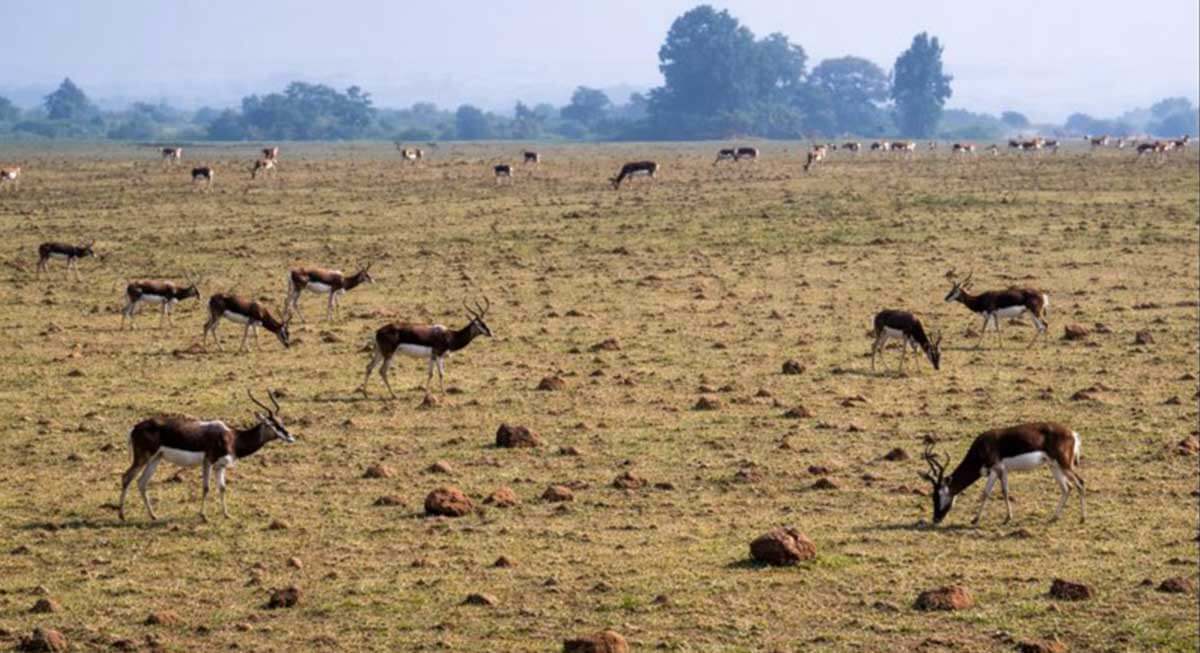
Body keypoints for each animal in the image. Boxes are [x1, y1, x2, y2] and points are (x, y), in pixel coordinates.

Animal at [119, 389, 295, 522]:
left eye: (281, 422)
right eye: (271, 424)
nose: (290, 437)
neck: (233, 438)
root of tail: (135, 427)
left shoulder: (220, 466)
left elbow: (222, 488)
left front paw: (227, 514)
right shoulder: (208, 461)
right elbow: (206, 487)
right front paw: (204, 516)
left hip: (155, 459)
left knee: (141, 482)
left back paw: (153, 516)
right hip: (143, 458)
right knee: (126, 477)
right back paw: (122, 516)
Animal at [358, 298, 492, 398]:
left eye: (485, 323)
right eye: (480, 324)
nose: (490, 333)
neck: (449, 335)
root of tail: (378, 332)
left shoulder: (433, 356)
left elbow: (431, 374)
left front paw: (427, 393)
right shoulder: (438, 354)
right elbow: (441, 374)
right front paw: (443, 393)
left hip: (380, 353)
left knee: (369, 367)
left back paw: (365, 394)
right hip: (389, 354)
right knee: (382, 371)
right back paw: (394, 395)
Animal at [920, 423, 1085, 526]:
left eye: (936, 496)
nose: (935, 519)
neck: (982, 447)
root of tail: (1073, 434)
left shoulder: (996, 469)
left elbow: (986, 493)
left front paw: (975, 519)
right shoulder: (1003, 471)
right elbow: (1005, 491)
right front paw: (1007, 517)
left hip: (1064, 465)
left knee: (1080, 482)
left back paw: (1082, 518)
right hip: (1054, 466)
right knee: (1067, 487)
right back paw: (1054, 517)